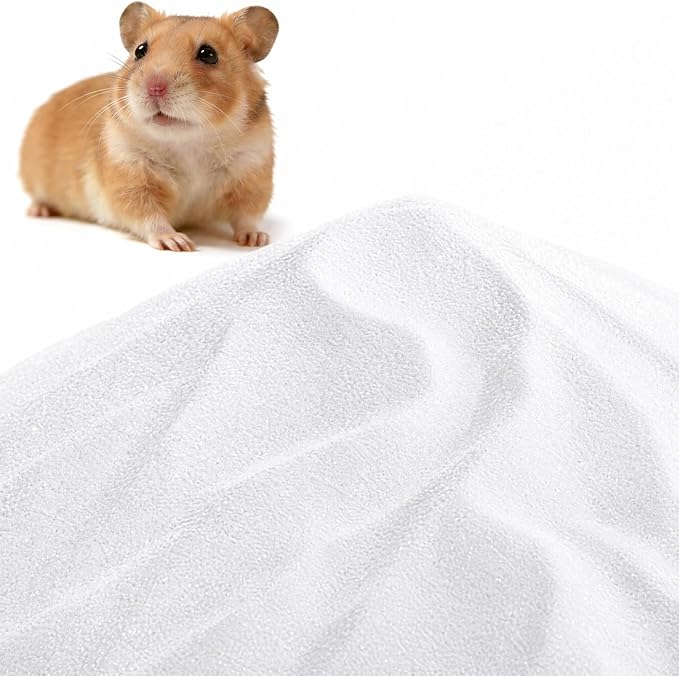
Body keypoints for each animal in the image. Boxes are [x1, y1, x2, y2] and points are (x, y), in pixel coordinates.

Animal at [19, 3, 279, 251]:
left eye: (208, 54)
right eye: (140, 50)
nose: (155, 87)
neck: (188, 142)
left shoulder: (252, 171)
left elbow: (247, 215)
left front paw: (256, 240)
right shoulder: (129, 176)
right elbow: (148, 216)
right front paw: (177, 243)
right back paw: (39, 211)